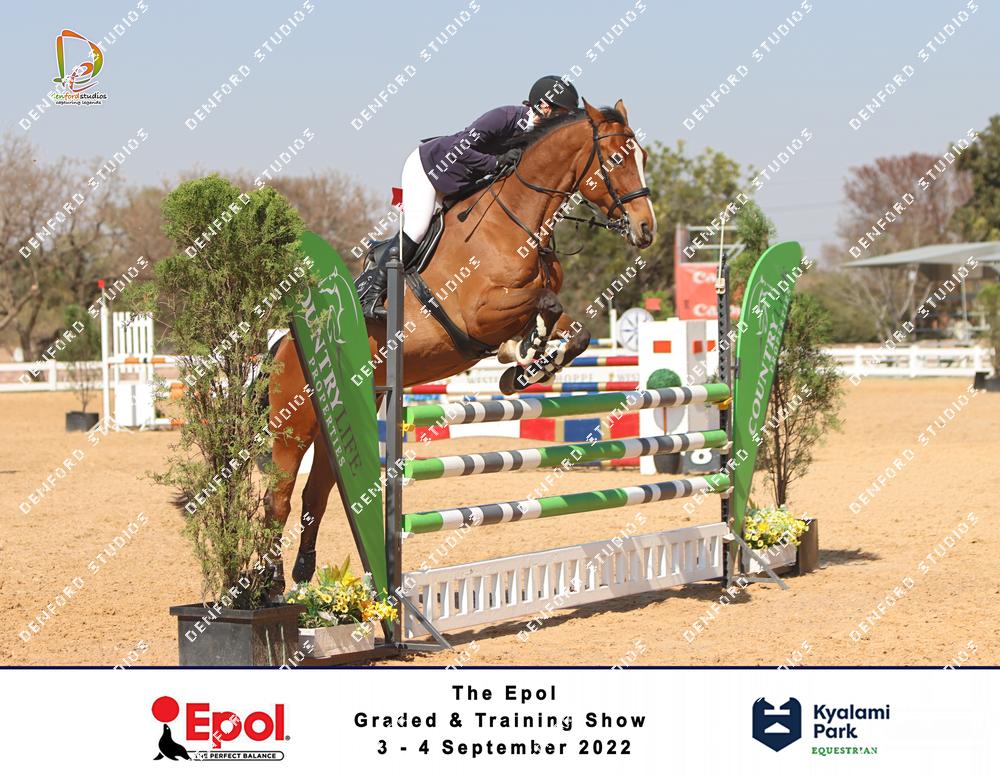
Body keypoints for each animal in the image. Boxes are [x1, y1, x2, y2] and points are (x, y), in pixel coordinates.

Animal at [266, 99, 657, 590]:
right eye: (618, 159)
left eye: (644, 157)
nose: (646, 229)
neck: (518, 222)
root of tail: (285, 343)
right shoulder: (480, 313)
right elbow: (543, 303)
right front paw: (522, 353)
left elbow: (575, 330)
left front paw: (526, 368)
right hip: (295, 424)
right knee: (278, 496)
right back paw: (267, 584)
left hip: (341, 417)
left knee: (316, 491)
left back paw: (303, 570)